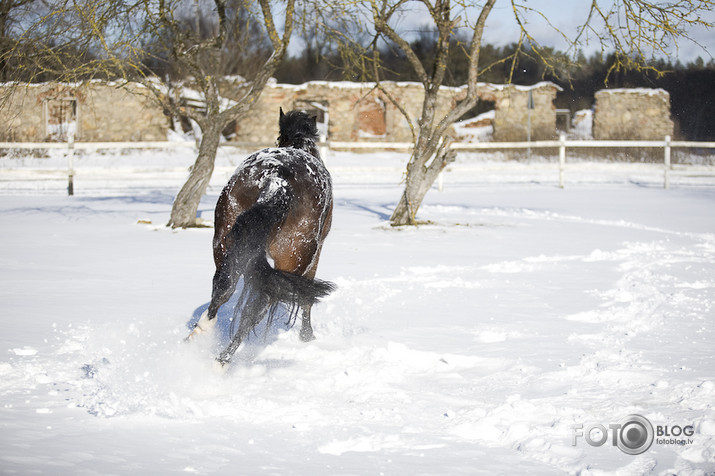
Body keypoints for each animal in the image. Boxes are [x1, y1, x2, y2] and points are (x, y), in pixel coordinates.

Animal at [189, 109, 338, 368]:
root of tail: (276, 179)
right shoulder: (316, 254)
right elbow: (306, 299)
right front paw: (307, 336)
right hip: (296, 258)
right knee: (258, 308)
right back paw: (221, 363)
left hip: (225, 244)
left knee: (223, 288)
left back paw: (195, 339)